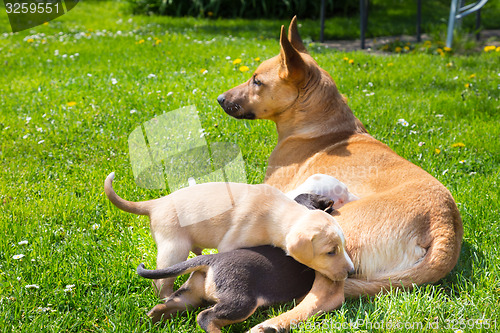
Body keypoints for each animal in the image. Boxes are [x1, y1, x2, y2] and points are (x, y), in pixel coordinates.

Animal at [104, 172, 354, 296]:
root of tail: (156, 203)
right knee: (162, 281)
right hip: (174, 248)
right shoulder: (232, 243)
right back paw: (167, 297)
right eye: (330, 252)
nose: (352, 272)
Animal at [138, 193, 336, 330]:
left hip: (191, 293)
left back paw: (148, 320)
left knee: (162, 306)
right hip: (241, 302)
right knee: (204, 317)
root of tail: (211, 260)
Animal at [217, 17, 462, 330]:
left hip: (331, 240)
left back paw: (273, 323)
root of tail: (443, 225)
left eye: (257, 81)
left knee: (329, 295)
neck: (325, 126)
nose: (220, 99)